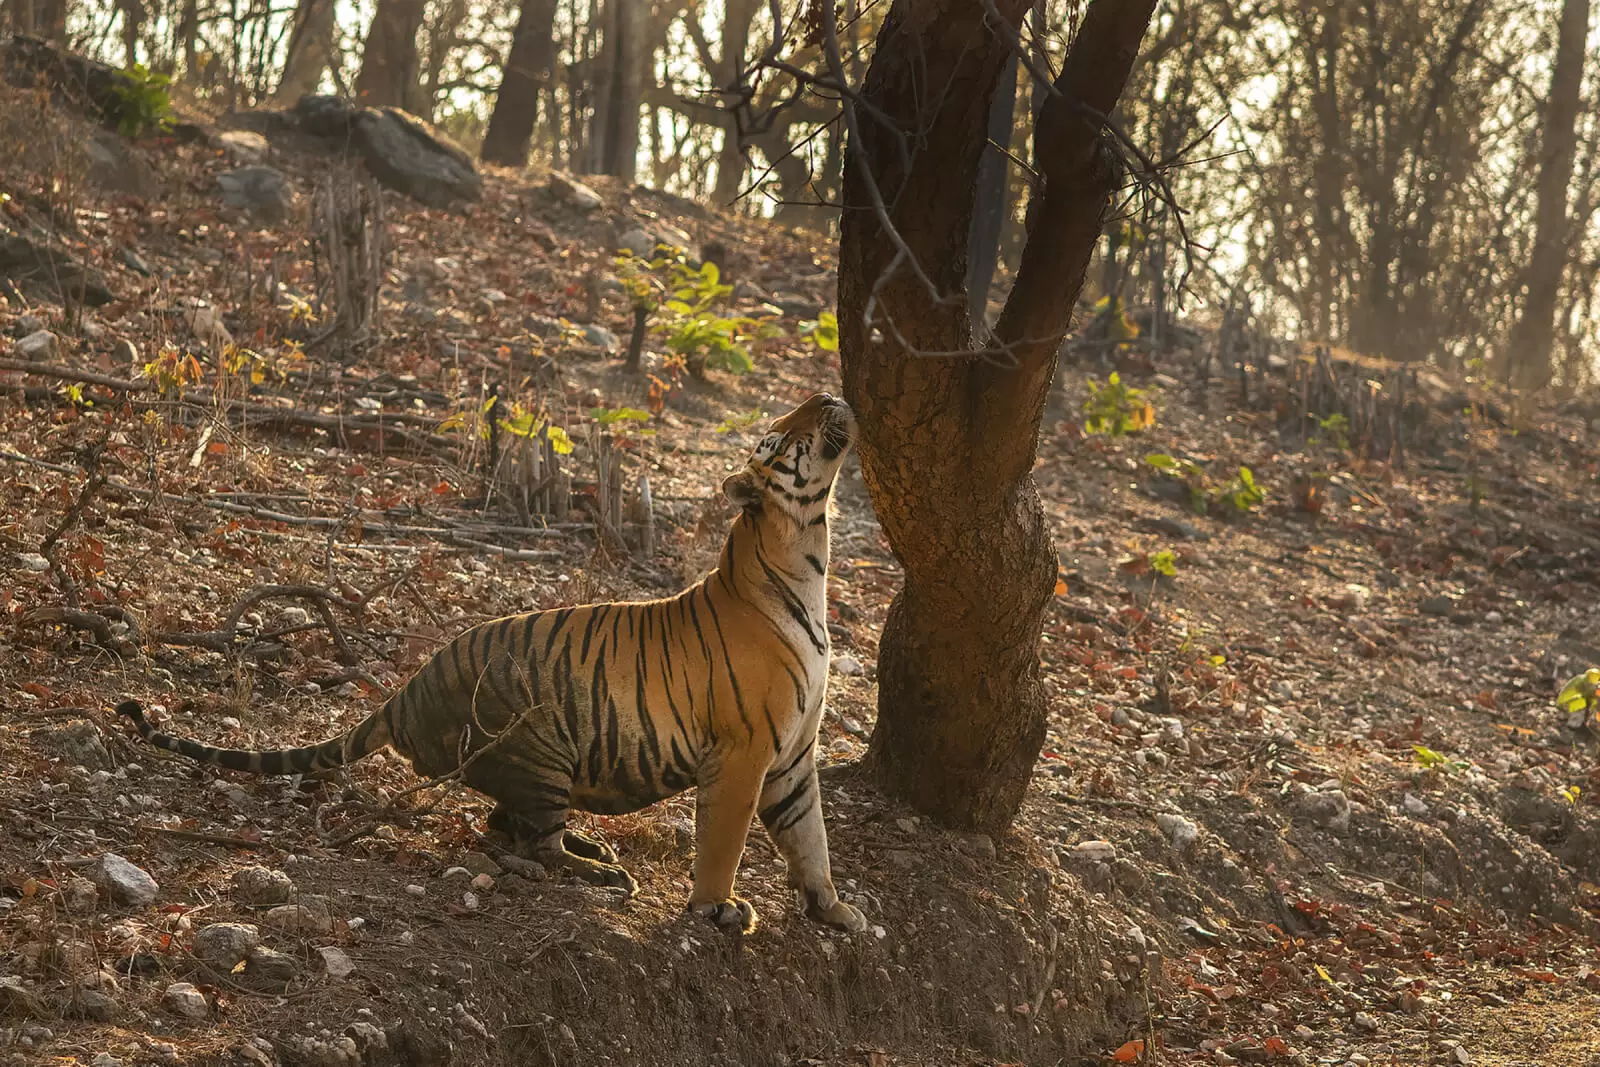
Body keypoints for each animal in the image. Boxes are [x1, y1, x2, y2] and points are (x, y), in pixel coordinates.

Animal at [115, 392, 868, 934]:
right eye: (781, 435)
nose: (831, 392)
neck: (804, 556)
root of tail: (405, 691)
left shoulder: (794, 754)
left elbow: (811, 838)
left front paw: (834, 909)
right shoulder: (744, 751)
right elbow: (726, 840)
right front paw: (717, 908)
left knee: (504, 827)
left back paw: (597, 854)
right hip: (541, 750)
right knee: (530, 844)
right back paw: (599, 872)